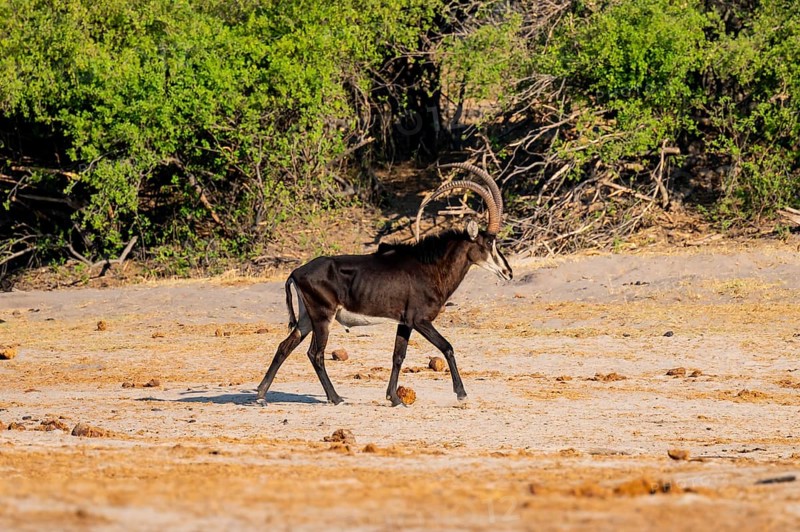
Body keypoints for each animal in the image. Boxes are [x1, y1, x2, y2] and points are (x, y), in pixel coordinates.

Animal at [255, 163, 512, 406]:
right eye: (488, 243)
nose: (508, 272)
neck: (429, 267)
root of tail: (296, 272)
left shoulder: (405, 322)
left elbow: (398, 356)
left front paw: (394, 398)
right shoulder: (420, 320)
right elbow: (447, 347)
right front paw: (461, 394)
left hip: (307, 318)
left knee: (285, 346)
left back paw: (261, 394)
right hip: (322, 317)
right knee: (315, 354)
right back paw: (335, 397)